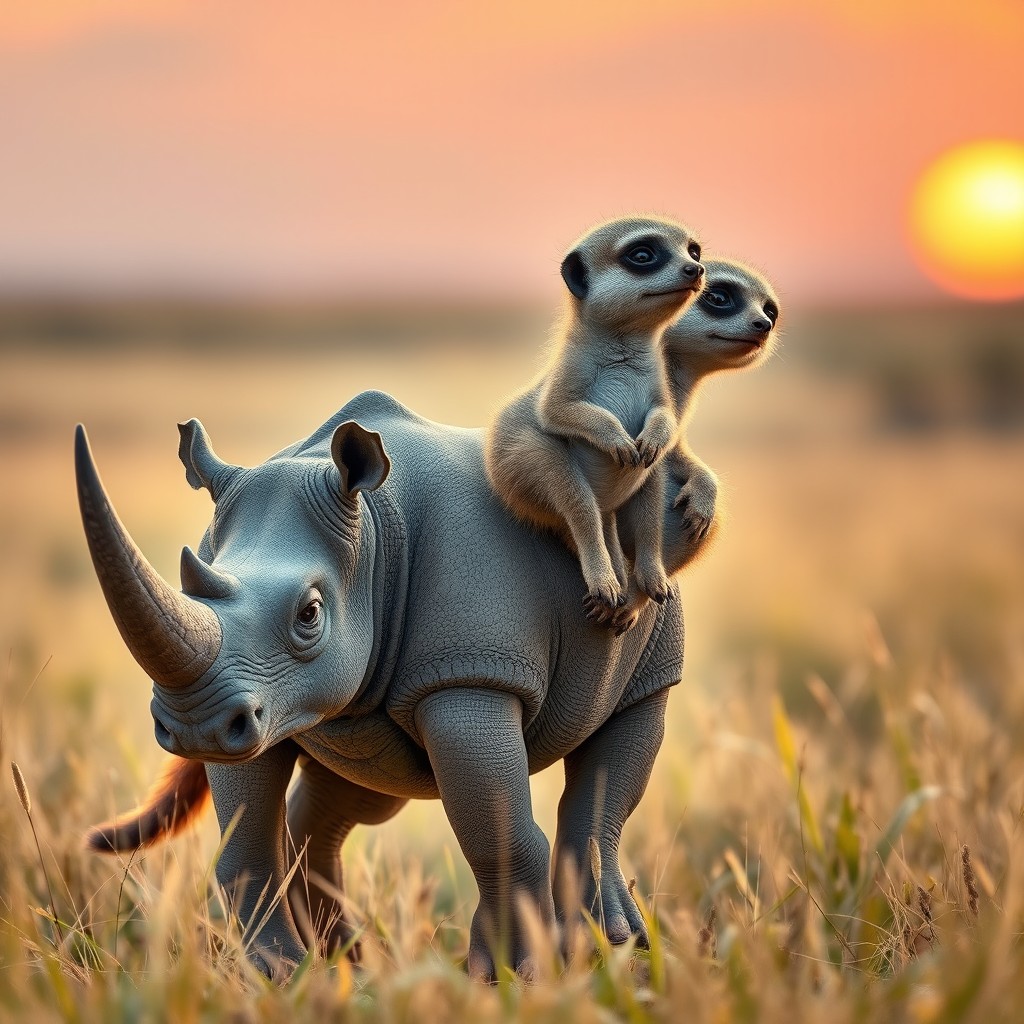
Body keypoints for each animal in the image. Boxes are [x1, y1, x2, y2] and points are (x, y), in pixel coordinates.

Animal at [77, 389, 684, 978]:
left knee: (631, 726)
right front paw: (275, 979)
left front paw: (516, 977)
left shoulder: (469, 674)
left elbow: (500, 835)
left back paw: (617, 947)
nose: (193, 727)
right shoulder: (247, 693)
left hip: (651, 621)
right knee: (352, 793)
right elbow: (246, 844)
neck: (370, 535)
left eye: (310, 614)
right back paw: (348, 965)